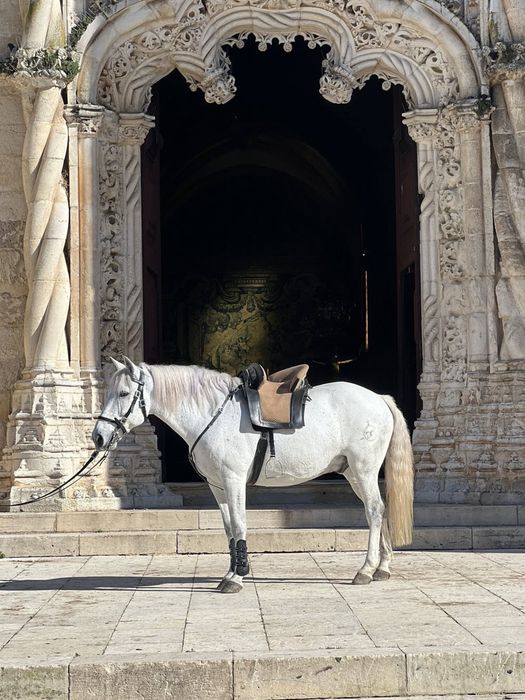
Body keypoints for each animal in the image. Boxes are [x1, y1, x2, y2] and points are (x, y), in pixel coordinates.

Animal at [92, 356, 414, 593]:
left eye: (123, 393)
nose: (98, 437)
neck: (213, 413)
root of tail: (379, 398)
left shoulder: (233, 480)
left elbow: (240, 524)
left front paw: (237, 577)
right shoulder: (218, 486)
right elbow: (228, 529)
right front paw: (232, 572)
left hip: (364, 470)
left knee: (374, 511)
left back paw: (366, 570)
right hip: (353, 473)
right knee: (379, 509)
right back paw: (382, 568)